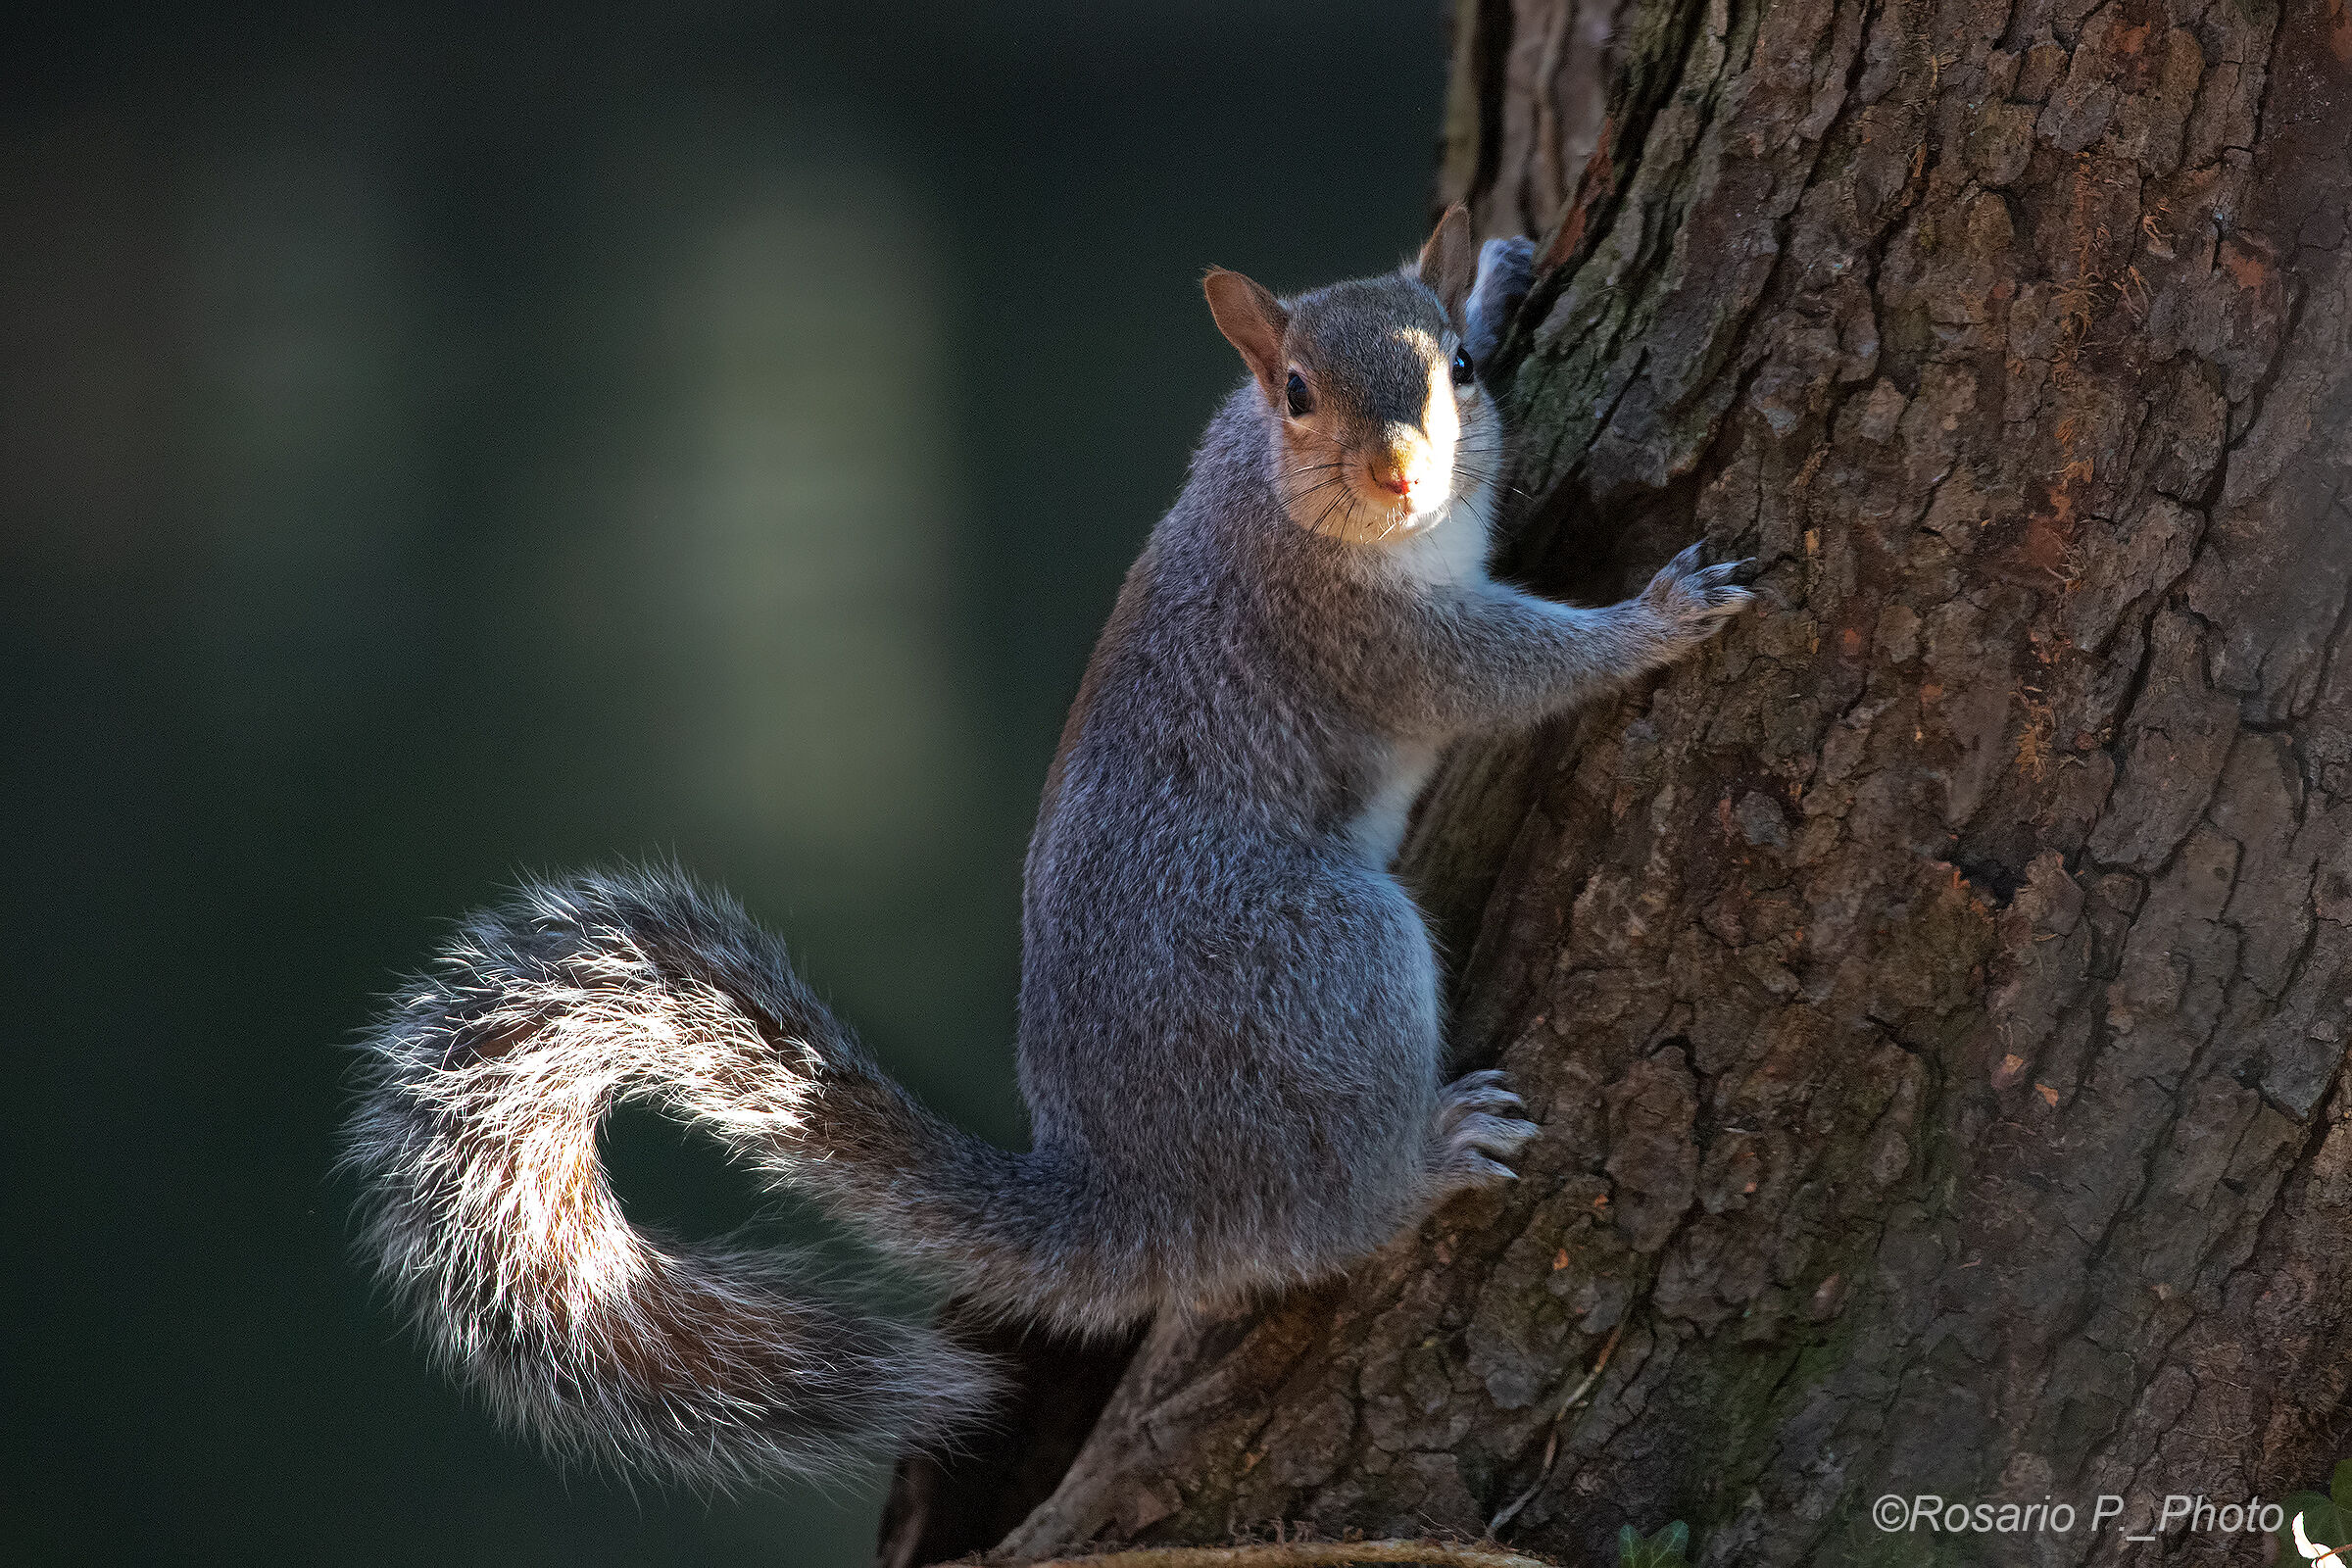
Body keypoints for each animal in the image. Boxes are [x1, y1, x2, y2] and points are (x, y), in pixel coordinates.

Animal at [343, 206, 1754, 1492]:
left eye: (1455, 367)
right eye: (1297, 393)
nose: (1403, 474)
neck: (1285, 499)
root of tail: (1140, 1199)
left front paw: (1500, 268)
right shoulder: (1360, 637)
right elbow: (1504, 674)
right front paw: (1657, 621)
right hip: (1313, 957)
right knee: (1325, 1214)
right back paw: (1422, 1164)